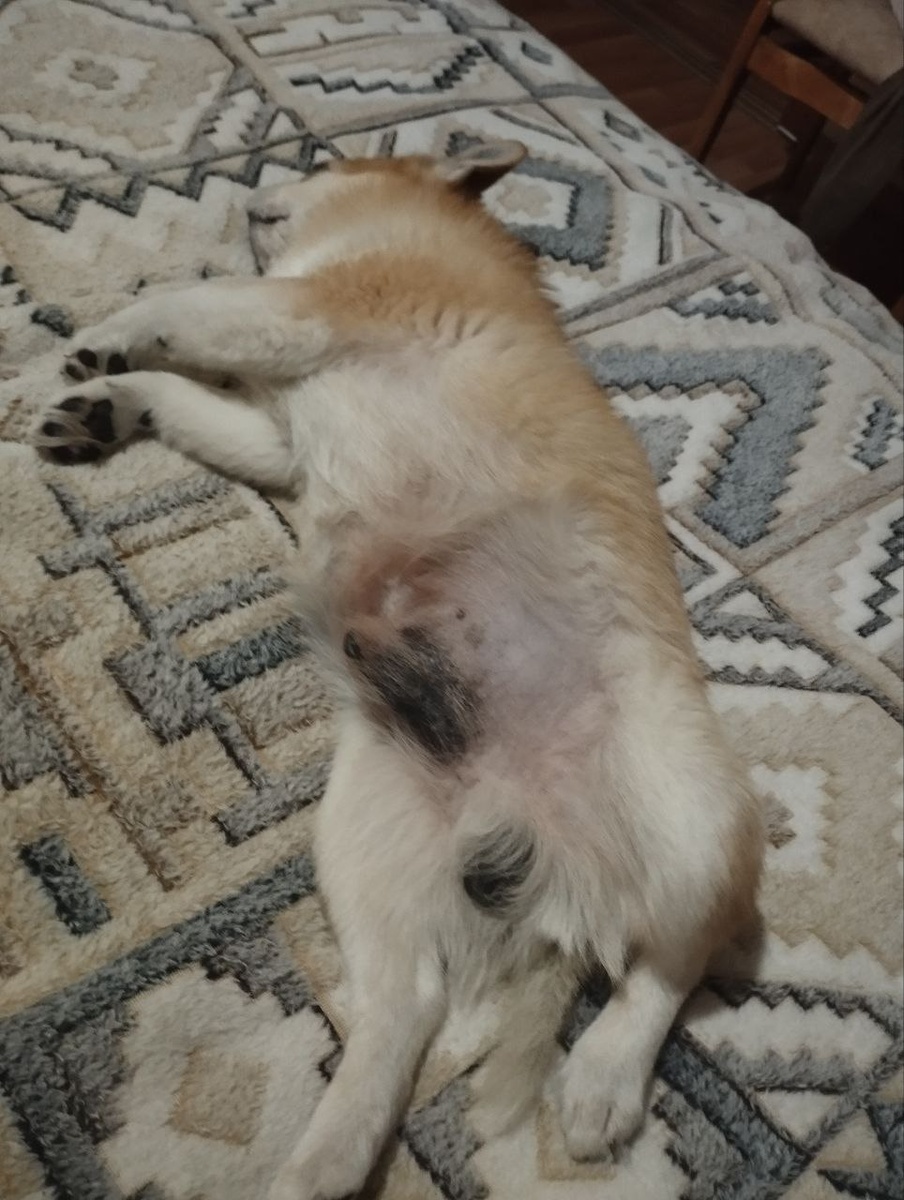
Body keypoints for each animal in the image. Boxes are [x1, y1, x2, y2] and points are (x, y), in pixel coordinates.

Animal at [34, 141, 763, 1200]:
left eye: (338, 156)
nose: (257, 185)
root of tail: (551, 863)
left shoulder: (305, 309)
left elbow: (178, 299)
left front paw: (96, 340)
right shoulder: (276, 434)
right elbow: (188, 396)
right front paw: (107, 403)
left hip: (695, 821)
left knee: (667, 970)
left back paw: (601, 1083)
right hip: (364, 841)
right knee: (405, 1011)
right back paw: (321, 1163)